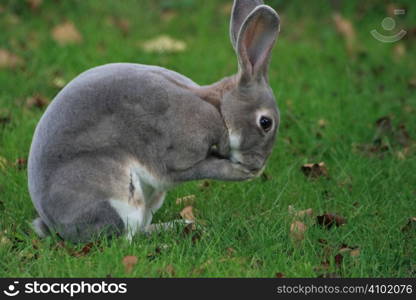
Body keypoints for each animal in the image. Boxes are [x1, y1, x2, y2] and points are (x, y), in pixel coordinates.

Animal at [27, 0, 282, 243]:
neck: (218, 111)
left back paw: (183, 225)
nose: (257, 166)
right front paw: (238, 172)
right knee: (125, 239)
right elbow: (205, 168)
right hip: (117, 197)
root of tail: (54, 227)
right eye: (265, 123)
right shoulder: (176, 159)